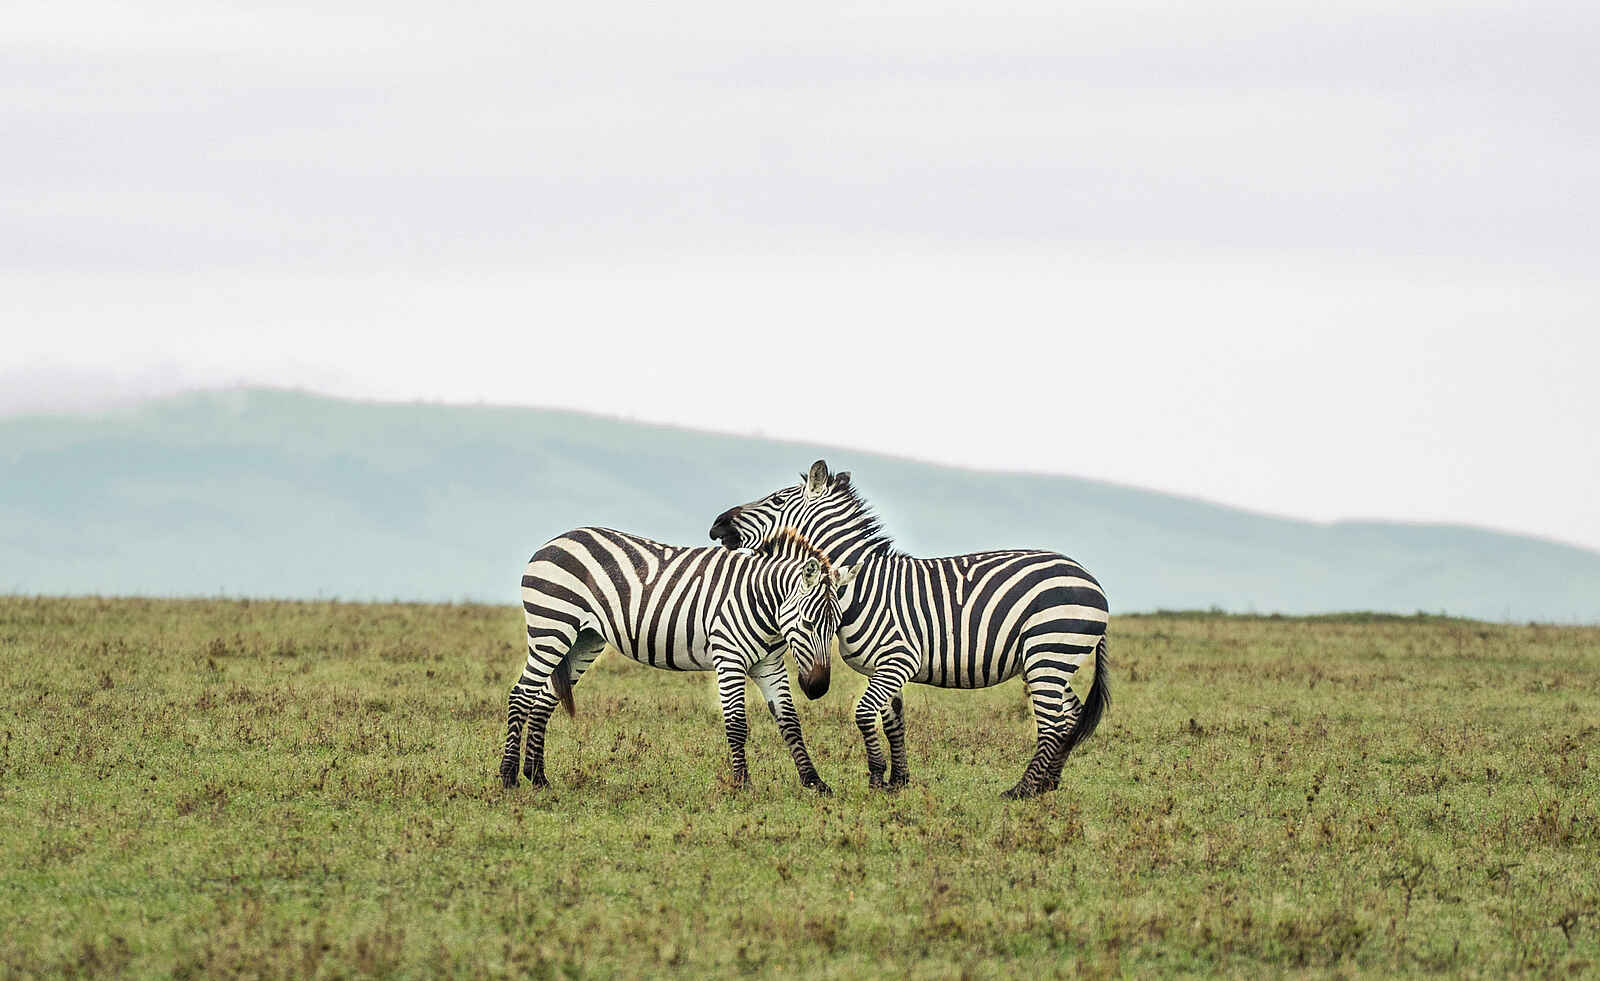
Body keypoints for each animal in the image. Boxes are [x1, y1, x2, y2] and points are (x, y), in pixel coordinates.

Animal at [499, 526, 855, 794]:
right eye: (808, 623)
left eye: (835, 627)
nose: (817, 688)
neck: (762, 604)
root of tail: (554, 540)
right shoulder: (729, 658)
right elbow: (737, 724)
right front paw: (742, 784)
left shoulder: (769, 666)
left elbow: (790, 722)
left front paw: (814, 781)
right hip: (551, 628)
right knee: (521, 695)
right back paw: (508, 776)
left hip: (584, 639)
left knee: (544, 700)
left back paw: (538, 777)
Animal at [707, 460, 1110, 799]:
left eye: (776, 499)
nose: (717, 525)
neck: (861, 586)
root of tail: (1090, 578)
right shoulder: (883, 668)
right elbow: (893, 722)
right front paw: (897, 780)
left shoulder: (898, 660)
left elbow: (863, 714)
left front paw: (875, 778)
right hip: (1049, 659)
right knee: (1070, 716)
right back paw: (1049, 784)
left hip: (1048, 651)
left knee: (1052, 722)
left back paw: (1022, 790)